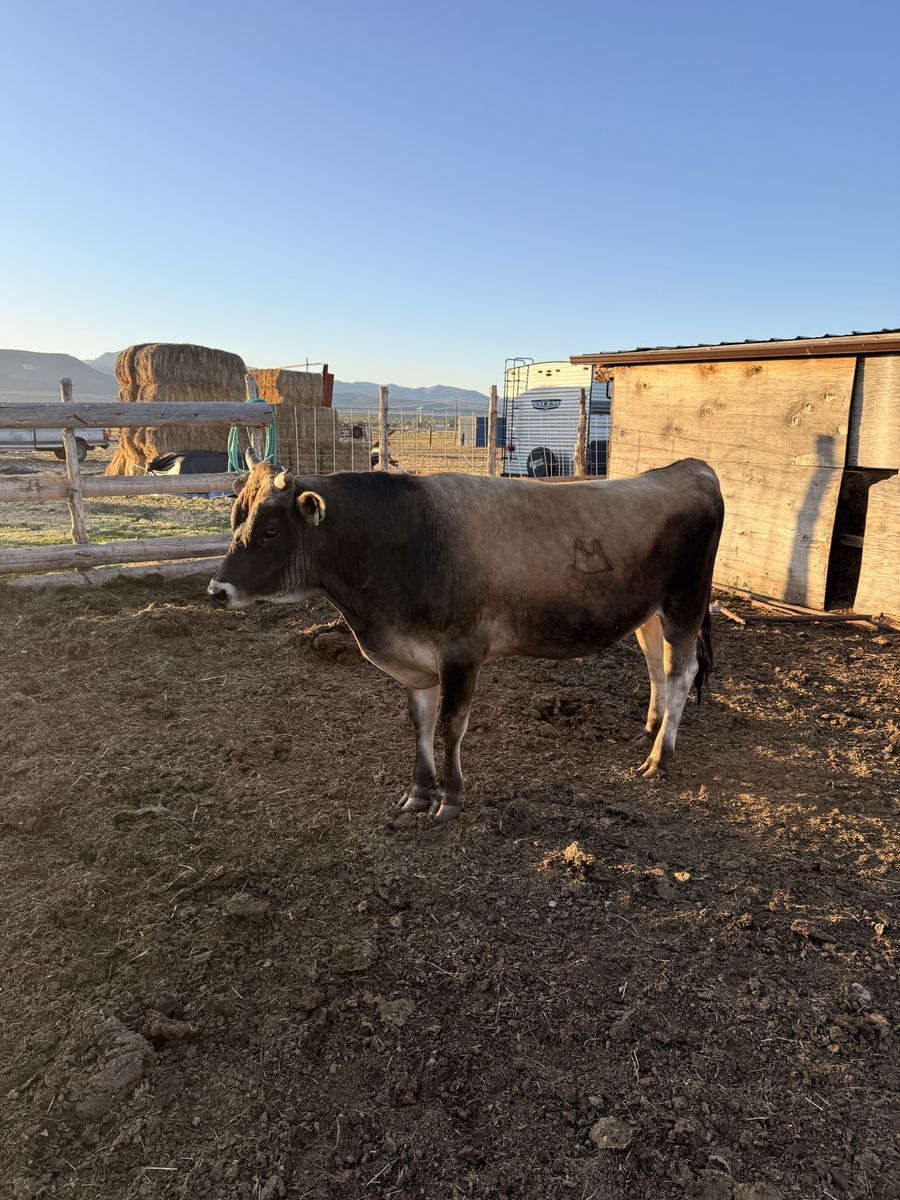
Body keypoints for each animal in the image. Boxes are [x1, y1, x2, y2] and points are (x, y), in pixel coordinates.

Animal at [208, 457, 724, 822]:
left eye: (270, 530)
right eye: (235, 518)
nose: (216, 591)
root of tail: (690, 467)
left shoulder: (463, 653)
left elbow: (450, 726)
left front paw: (450, 799)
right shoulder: (415, 661)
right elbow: (419, 725)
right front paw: (418, 793)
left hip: (685, 602)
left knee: (681, 673)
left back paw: (660, 756)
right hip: (648, 612)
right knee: (655, 665)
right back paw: (651, 727)